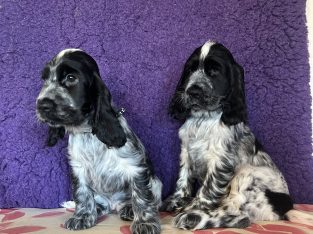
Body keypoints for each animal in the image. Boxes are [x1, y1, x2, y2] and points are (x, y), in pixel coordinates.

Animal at [36, 48, 161, 233]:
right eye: (44, 79)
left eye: (71, 78)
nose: (42, 105)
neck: (87, 132)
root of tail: (114, 205)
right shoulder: (78, 169)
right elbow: (82, 194)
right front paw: (82, 216)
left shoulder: (134, 166)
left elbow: (141, 195)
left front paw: (145, 222)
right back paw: (98, 209)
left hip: (156, 183)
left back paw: (129, 210)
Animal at [160, 41, 310, 229]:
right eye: (190, 70)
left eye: (214, 72)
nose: (193, 91)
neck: (203, 118)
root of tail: (285, 208)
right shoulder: (186, 151)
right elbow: (183, 178)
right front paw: (177, 200)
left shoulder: (220, 160)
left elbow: (208, 190)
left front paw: (195, 207)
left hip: (247, 174)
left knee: (238, 213)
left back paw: (192, 217)